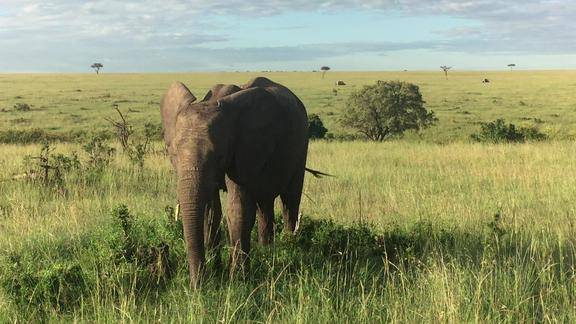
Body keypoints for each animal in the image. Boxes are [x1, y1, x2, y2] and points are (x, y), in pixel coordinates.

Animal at [160, 77, 308, 288]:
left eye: (219, 155)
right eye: (173, 153)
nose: (197, 286)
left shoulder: (244, 150)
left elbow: (238, 209)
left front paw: (237, 281)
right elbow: (211, 211)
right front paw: (216, 271)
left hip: (301, 147)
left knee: (290, 202)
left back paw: (288, 249)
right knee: (265, 205)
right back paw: (267, 252)